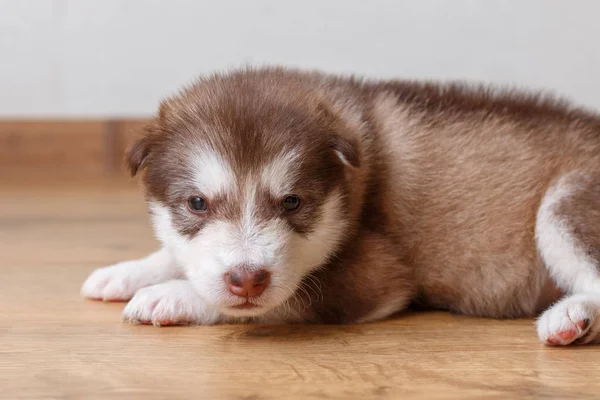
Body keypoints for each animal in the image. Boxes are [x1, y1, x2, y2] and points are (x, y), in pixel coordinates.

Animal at [81, 65, 600, 344]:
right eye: (196, 203)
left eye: (292, 202)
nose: (247, 279)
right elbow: (176, 254)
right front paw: (129, 271)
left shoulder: (377, 272)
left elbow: (284, 297)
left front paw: (172, 294)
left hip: (567, 204)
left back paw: (571, 317)